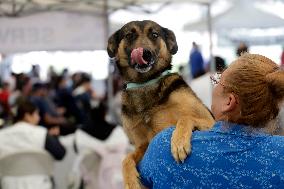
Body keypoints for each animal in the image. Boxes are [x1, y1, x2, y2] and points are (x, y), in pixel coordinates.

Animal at [107, 19, 214, 188]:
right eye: (129, 35)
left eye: (155, 34)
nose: (145, 53)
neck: (146, 83)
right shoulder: (144, 144)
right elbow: (126, 158)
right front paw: (130, 181)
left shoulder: (211, 120)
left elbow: (185, 118)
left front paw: (179, 142)